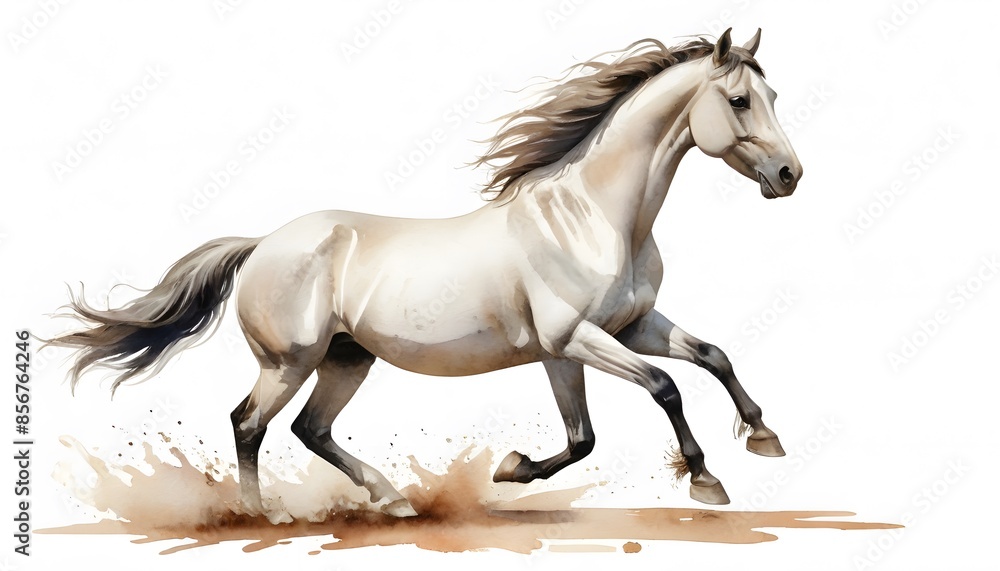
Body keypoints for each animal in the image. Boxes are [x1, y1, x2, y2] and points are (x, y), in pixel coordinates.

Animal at [50, 28, 801, 517]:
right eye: (740, 101)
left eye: (773, 95)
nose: (790, 175)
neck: (591, 216)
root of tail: (263, 243)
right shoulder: (576, 339)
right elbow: (664, 388)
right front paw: (705, 478)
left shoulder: (621, 330)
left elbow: (698, 364)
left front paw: (763, 437)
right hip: (288, 361)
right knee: (247, 422)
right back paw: (266, 515)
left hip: (347, 358)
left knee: (309, 430)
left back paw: (392, 499)